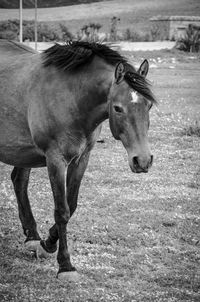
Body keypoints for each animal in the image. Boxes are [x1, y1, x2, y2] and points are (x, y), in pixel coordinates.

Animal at [0, 39, 156, 282]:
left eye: (148, 105)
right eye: (118, 108)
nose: (143, 160)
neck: (71, 97)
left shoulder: (81, 158)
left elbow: (71, 205)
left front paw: (46, 244)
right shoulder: (56, 160)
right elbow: (61, 210)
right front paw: (65, 265)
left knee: (19, 181)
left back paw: (32, 237)